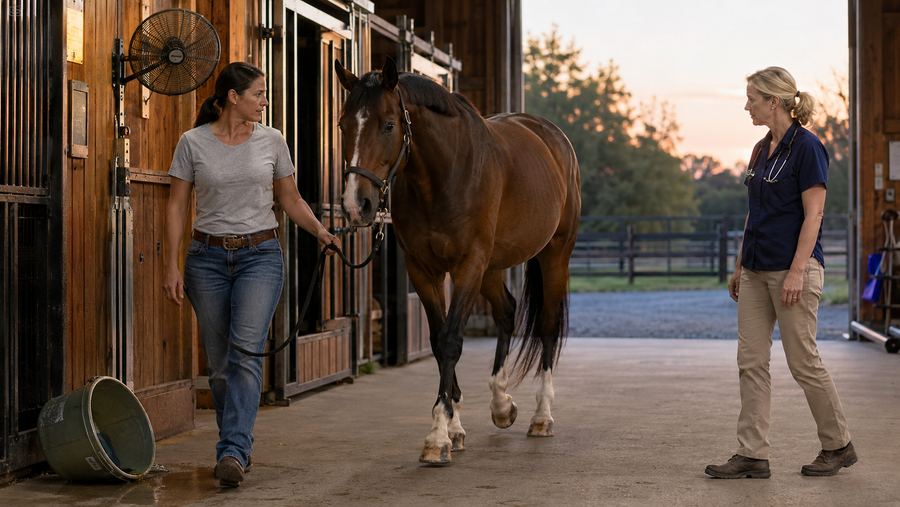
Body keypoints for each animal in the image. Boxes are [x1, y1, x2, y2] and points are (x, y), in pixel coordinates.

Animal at [335, 57, 581, 464]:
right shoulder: (424, 270)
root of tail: (553, 137)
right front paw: (453, 427)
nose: (357, 206)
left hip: (554, 253)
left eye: (388, 125)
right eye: (342, 125)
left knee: (546, 325)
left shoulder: (468, 265)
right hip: (493, 267)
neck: (446, 174)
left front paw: (437, 437)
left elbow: (451, 340)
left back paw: (541, 416)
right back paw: (501, 404)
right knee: (507, 311)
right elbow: (437, 342)